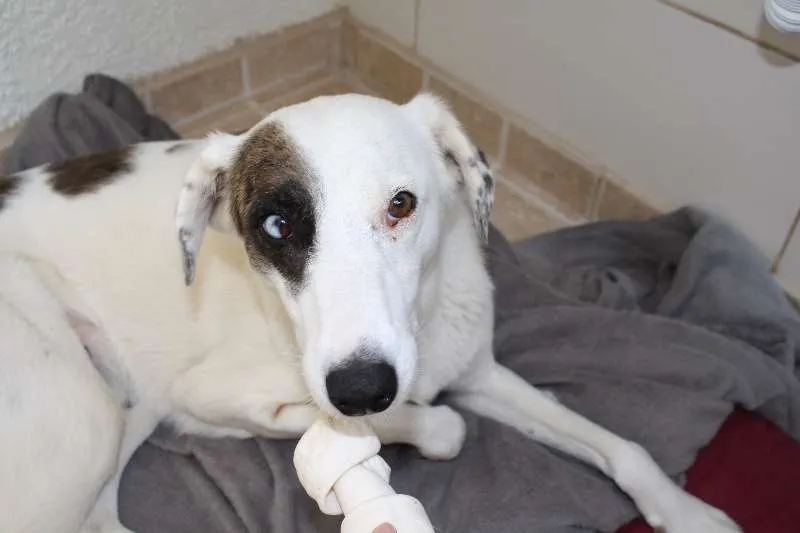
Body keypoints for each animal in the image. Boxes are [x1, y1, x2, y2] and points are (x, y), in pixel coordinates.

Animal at [0, 91, 740, 533]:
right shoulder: (214, 393)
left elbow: (623, 447)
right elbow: (438, 426)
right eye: (275, 225)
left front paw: (688, 512)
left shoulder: (476, 370)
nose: (361, 387)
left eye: (402, 204)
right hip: (85, 414)